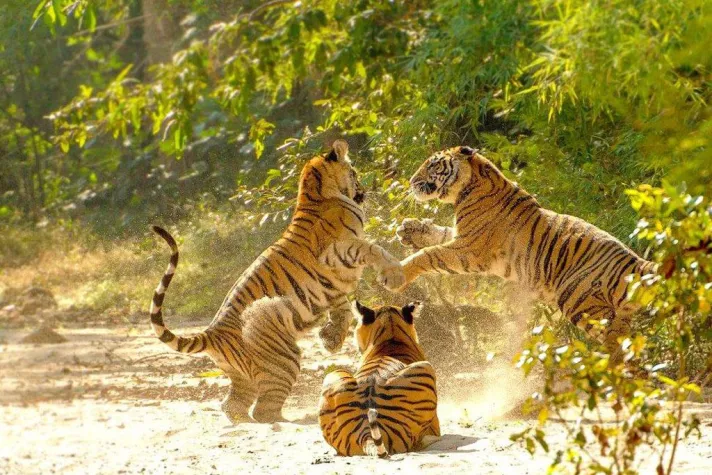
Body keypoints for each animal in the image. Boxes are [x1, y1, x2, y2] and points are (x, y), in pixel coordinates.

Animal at [149, 140, 405, 423]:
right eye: (355, 173)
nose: (364, 191)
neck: (313, 192)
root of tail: (212, 332)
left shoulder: (335, 282)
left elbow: (342, 308)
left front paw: (331, 339)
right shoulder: (339, 250)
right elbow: (373, 249)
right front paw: (394, 274)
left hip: (242, 375)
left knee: (232, 405)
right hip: (283, 359)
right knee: (264, 411)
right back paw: (297, 418)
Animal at [388, 146, 656, 360]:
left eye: (433, 164)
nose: (411, 181)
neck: (469, 188)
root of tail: (635, 261)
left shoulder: (469, 248)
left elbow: (430, 254)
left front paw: (398, 275)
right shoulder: (461, 238)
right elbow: (438, 234)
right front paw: (410, 229)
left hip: (581, 303)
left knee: (616, 342)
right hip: (615, 314)